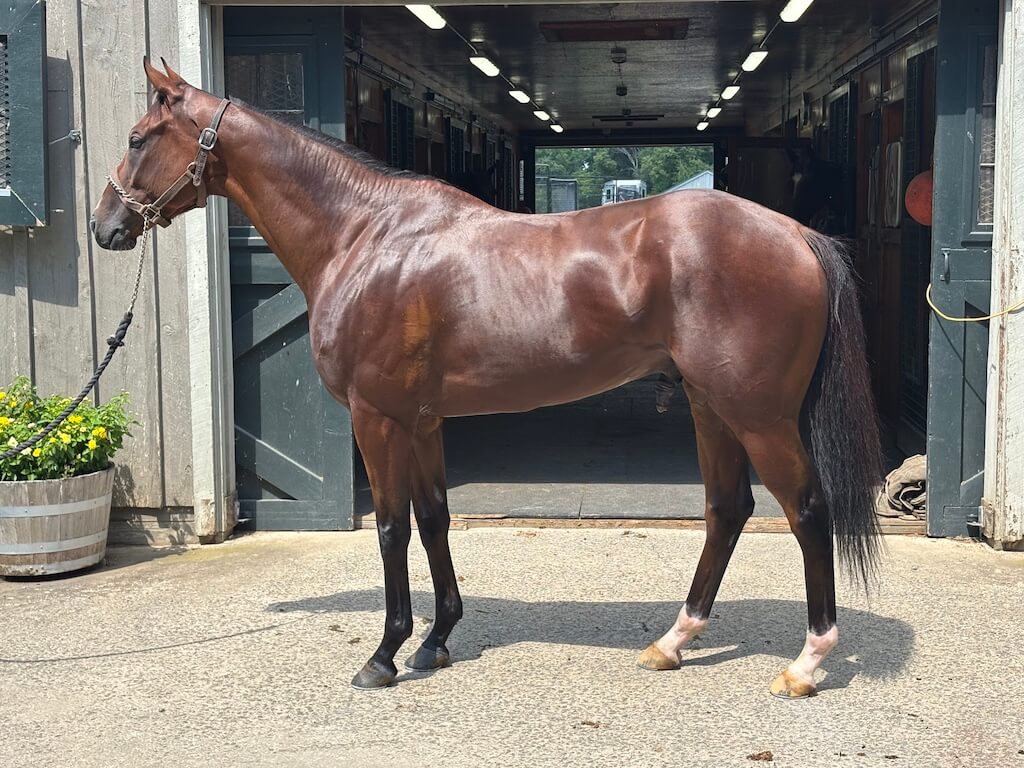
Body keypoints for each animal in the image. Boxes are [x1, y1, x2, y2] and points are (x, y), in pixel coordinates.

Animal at [92, 60, 882, 697]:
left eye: (137, 138)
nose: (105, 227)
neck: (367, 236)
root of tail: (795, 234)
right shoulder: (422, 421)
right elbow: (435, 519)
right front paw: (437, 641)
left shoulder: (376, 417)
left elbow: (390, 527)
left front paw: (383, 655)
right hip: (709, 405)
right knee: (727, 510)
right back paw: (672, 642)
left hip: (758, 415)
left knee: (807, 511)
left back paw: (807, 664)